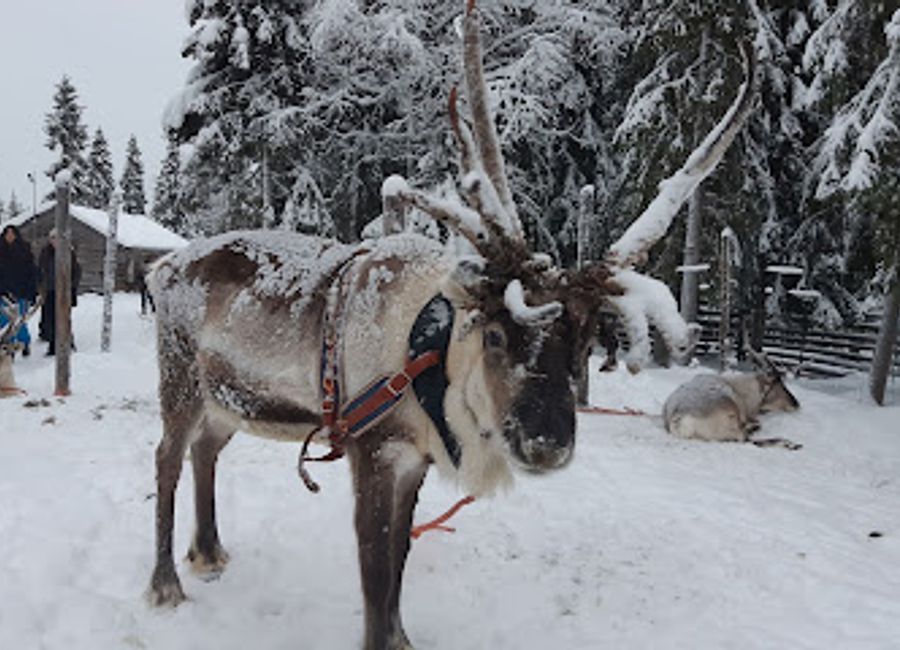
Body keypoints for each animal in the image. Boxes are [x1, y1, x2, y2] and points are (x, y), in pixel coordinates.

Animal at [145, 2, 756, 648]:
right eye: (495, 334)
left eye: (587, 340)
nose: (546, 445)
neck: (430, 355)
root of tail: (163, 267)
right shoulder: (373, 451)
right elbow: (375, 569)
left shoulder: (415, 460)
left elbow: (398, 565)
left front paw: (402, 638)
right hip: (179, 381)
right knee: (166, 459)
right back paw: (165, 584)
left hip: (228, 399)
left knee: (206, 450)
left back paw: (209, 553)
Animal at [663, 350, 801, 448]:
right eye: (780, 383)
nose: (796, 404)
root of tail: (679, 420)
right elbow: (757, 424)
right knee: (749, 439)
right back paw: (792, 444)